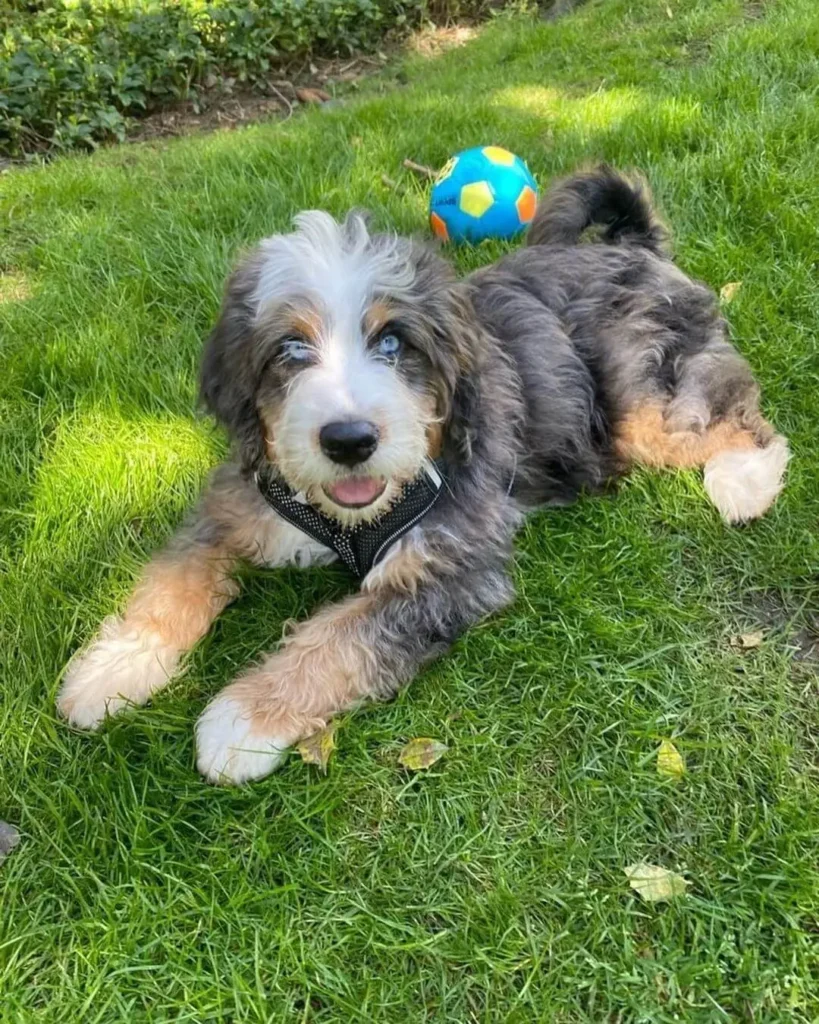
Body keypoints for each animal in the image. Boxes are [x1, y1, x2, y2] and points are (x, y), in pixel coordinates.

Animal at [56, 165, 786, 782]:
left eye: (392, 342)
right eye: (290, 349)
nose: (349, 441)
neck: (351, 516)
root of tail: (635, 248)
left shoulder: (449, 568)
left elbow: (339, 637)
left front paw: (240, 720)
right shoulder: (237, 502)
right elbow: (172, 577)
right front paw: (112, 668)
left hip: (645, 403)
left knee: (737, 414)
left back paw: (744, 481)